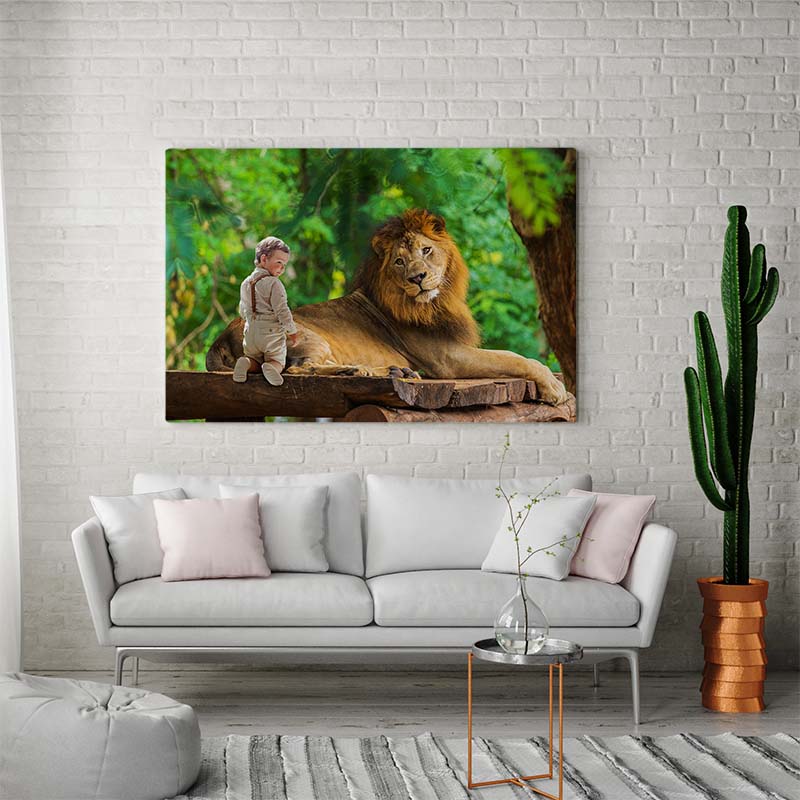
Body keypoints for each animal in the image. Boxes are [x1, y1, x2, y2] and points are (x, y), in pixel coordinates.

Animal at [206, 209, 569, 405]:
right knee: (296, 370)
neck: (437, 302)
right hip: (304, 336)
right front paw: (555, 388)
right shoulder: (447, 359)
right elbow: (516, 358)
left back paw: (388, 371)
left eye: (426, 250)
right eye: (399, 261)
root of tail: (218, 340)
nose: (417, 278)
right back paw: (363, 372)